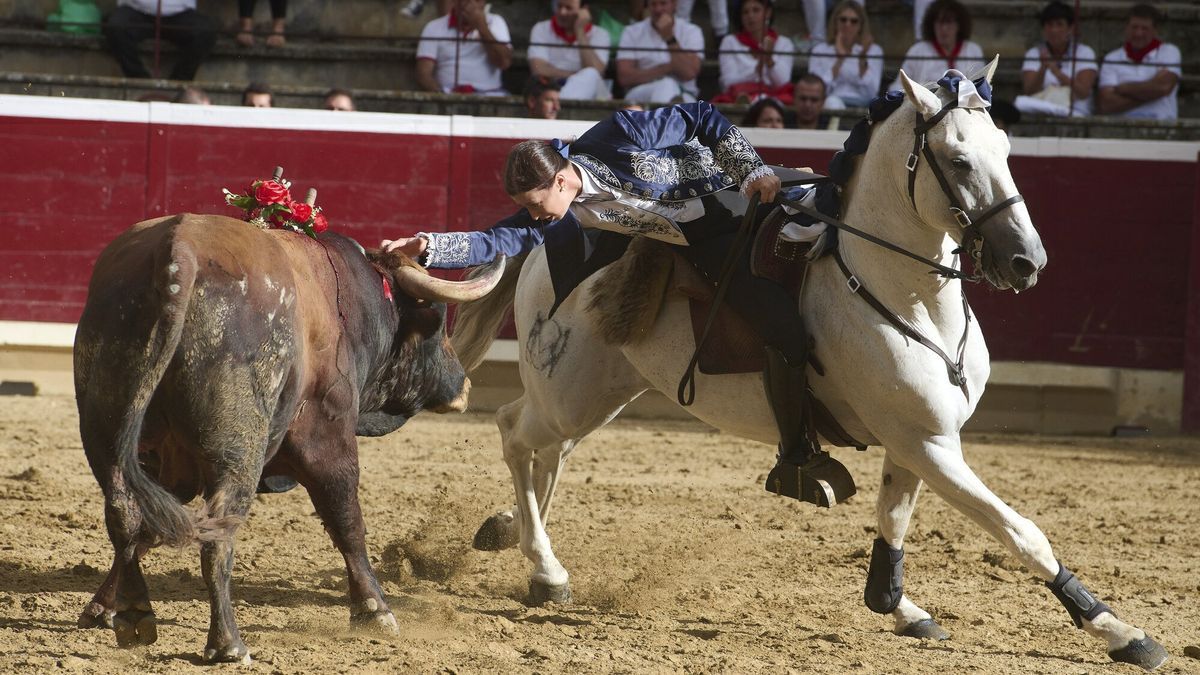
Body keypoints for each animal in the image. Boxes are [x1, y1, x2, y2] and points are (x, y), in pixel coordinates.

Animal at [71, 212, 501, 658]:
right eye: (438, 322)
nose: (463, 384)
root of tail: (179, 252)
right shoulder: (329, 442)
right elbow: (347, 522)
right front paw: (375, 610)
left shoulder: (168, 465)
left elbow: (149, 530)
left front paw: (103, 607)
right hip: (238, 451)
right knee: (217, 534)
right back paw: (228, 643)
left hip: (106, 433)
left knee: (124, 512)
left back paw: (137, 615)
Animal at [448, 63, 1161, 667]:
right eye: (959, 159)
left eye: (1009, 150)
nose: (1026, 261)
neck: (903, 292)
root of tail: (551, 235)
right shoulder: (930, 444)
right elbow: (1022, 533)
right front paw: (1120, 632)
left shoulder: (920, 441)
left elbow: (893, 522)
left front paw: (899, 608)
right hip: (568, 391)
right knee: (515, 433)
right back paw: (545, 569)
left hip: (602, 392)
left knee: (549, 450)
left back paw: (510, 534)